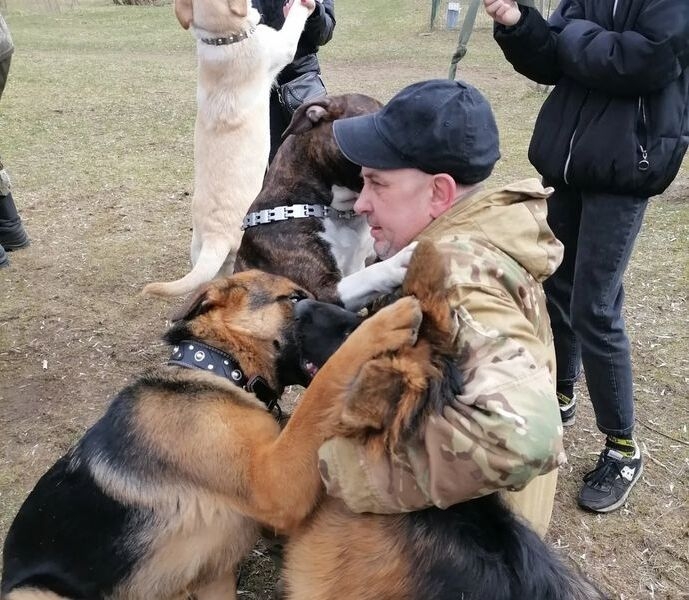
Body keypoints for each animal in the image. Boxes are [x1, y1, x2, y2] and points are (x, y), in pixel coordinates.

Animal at [1, 268, 419, 600]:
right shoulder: (274, 484)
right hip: (35, 592)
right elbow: (326, 384)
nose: (356, 320)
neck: (219, 368)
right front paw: (383, 325)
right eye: (295, 298)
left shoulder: (216, 576)